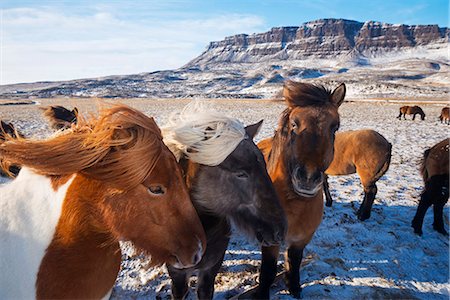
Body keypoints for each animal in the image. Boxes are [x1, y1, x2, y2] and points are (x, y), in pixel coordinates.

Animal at [251, 81, 346, 298]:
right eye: (294, 124)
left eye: (334, 127)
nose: (308, 178)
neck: (294, 204)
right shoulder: (271, 241)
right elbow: (268, 270)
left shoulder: (302, 239)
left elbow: (294, 263)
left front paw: (293, 287)